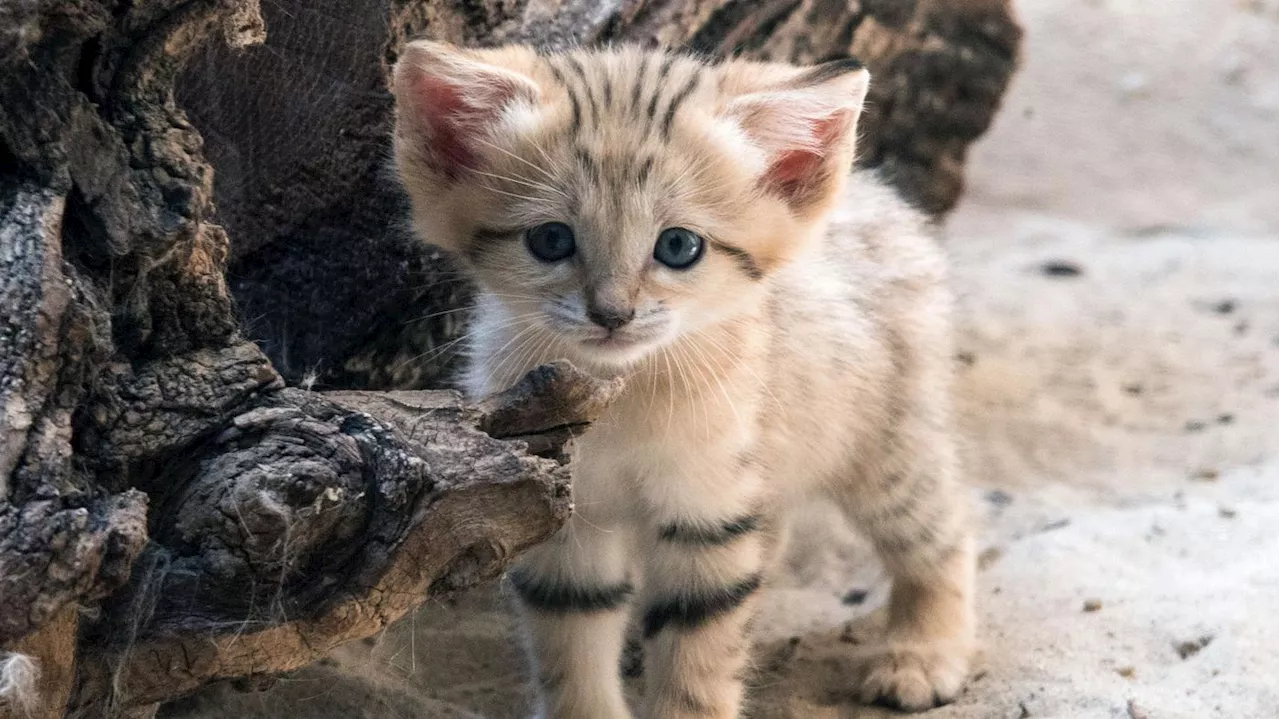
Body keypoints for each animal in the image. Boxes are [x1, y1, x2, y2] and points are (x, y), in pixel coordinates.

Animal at [389, 40, 967, 716]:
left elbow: (700, 649)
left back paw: (923, 653)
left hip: (887, 452)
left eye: (678, 247)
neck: (619, 398)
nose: (612, 314)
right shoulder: (563, 506)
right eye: (551, 239)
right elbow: (571, 635)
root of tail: (881, 200)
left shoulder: (708, 509)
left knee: (944, 534)